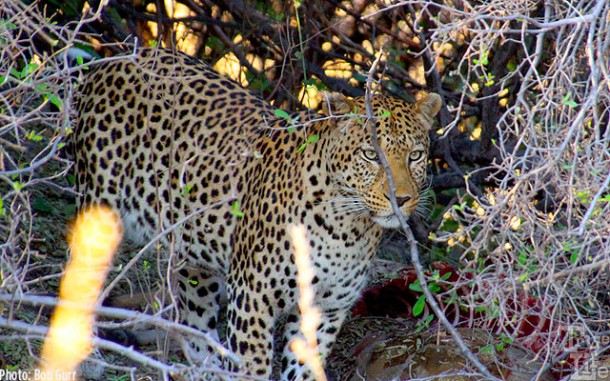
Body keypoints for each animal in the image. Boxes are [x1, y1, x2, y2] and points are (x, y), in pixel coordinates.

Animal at [73, 48, 440, 380]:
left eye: (415, 156)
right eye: (370, 155)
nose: (401, 198)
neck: (347, 228)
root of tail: (115, 58)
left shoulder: (325, 310)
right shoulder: (252, 299)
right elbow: (254, 367)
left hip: (195, 253)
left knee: (196, 320)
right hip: (99, 217)